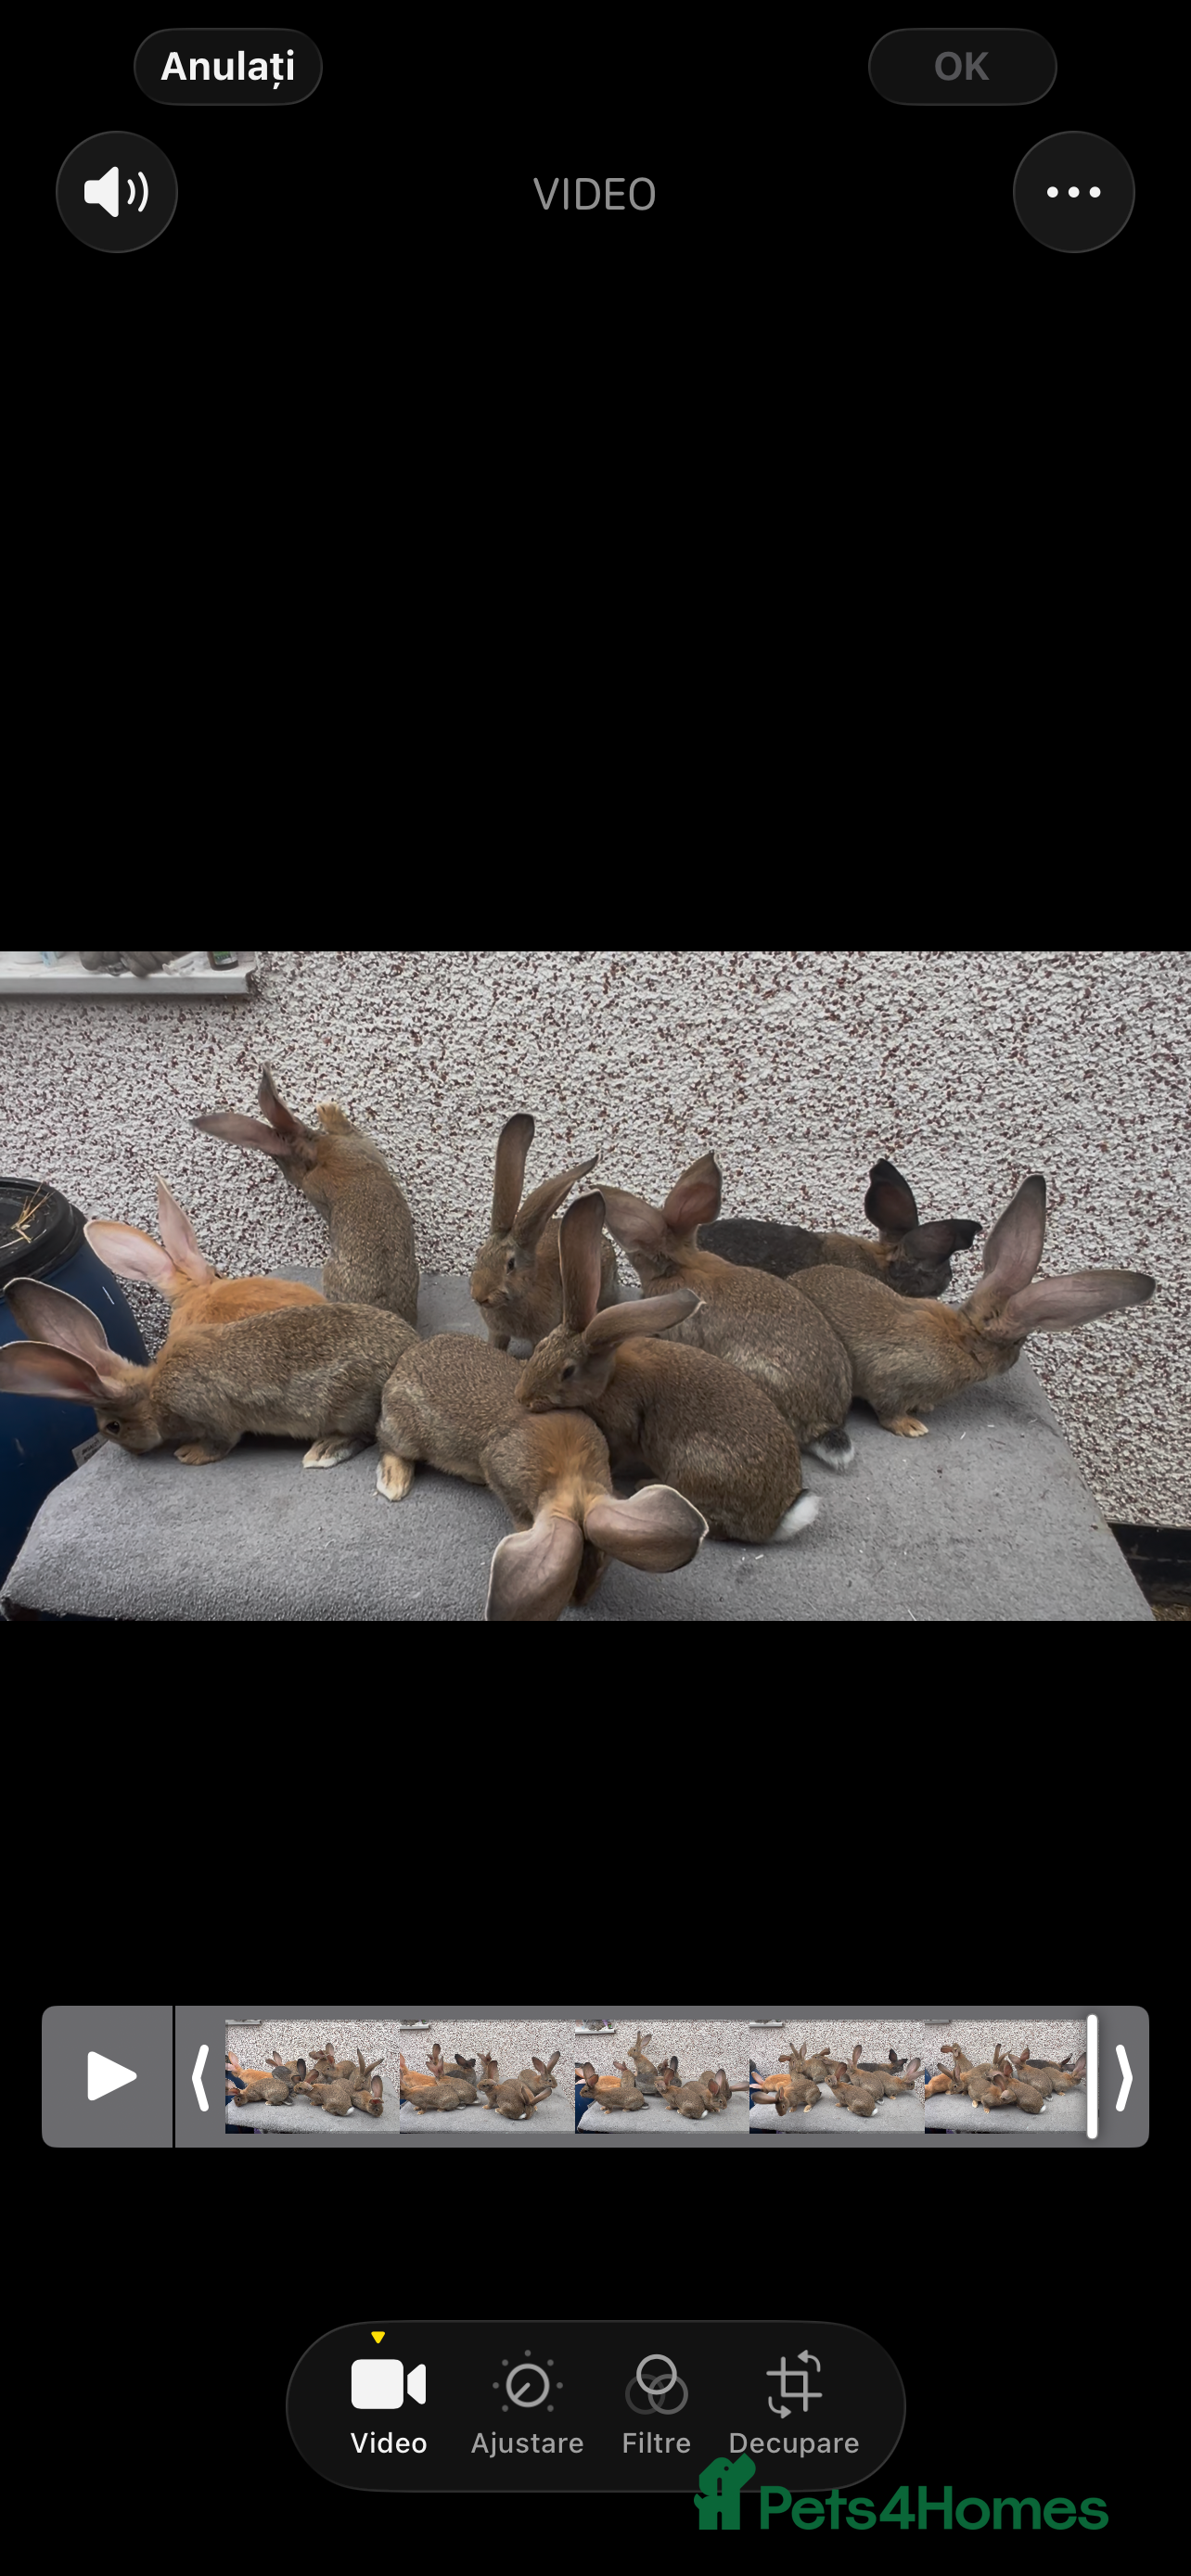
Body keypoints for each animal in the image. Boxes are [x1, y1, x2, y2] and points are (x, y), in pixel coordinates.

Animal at [0, 1276, 417, 1468]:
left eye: (112, 1428)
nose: (132, 1452)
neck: (153, 1396)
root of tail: (406, 1348)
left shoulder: (211, 1416)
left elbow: (220, 1442)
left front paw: (189, 1455)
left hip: (348, 1405)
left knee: (364, 1434)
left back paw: (326, 1449)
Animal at [376, 1331, 705, 1621]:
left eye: (602, 1560)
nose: (579, 1601)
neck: (570, 1474)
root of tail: (403, 1364)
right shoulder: (500, 1471)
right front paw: (525, 1528)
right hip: (406, 1431)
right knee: (388, 1443)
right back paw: (395, 1482)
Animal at [516, 1193, 819, 1541]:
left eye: (567, 1372)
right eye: (540, 1346)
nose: (523, 1398)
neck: (608, 1379)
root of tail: (773, 1522)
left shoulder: (622, 1428)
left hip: (696, 1467)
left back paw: (646, 1484)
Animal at [791, 1173, 1154, 1436]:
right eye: (1016, 1343)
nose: (1012, 1363)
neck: (961, 1339)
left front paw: (923, 1410)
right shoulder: (891, 1382)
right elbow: (889, 1412)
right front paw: (913, 1427)